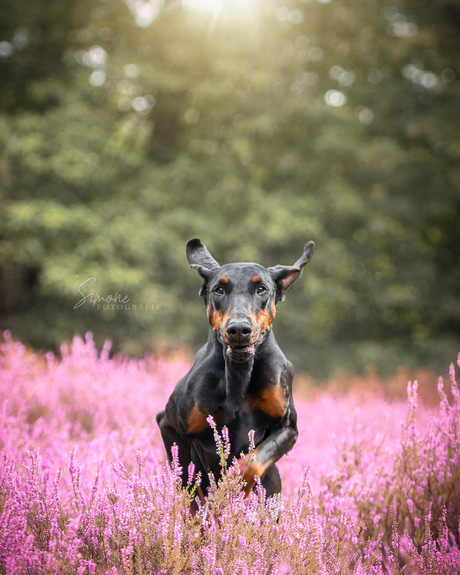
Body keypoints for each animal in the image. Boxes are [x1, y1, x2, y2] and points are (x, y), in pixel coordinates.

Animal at [156, 238, 314, 504]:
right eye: (219, 290)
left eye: (261, 289)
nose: (239, 329)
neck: (239, 374)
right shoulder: (169, 425)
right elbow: (187, 482)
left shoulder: (287, 428)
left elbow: (253, 462)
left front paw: (235, 485)